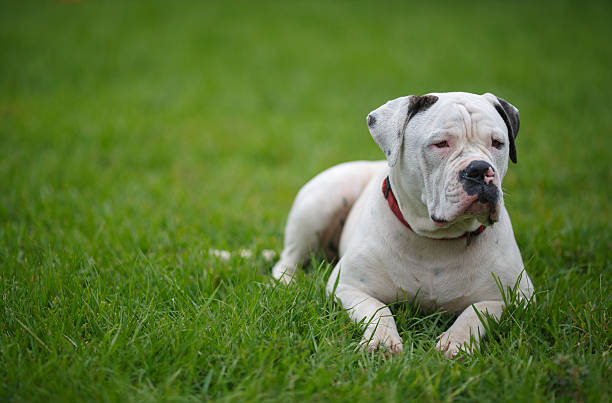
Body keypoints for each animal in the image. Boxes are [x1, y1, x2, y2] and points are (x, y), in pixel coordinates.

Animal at [270, 92, 532, 360]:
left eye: (497, 143)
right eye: (441, 144)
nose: (479, 169)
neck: (439, 239)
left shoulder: (518, 297)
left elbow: (478, 311)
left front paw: (456, 342)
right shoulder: (348, 286)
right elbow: (378, 309)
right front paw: (382, 341)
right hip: (322, 200)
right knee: (287, 260)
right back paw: (286, 283)